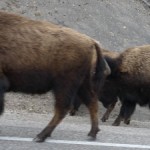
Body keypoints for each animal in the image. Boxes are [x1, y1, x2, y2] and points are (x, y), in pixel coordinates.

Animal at [0, 11, 110, 142]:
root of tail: (91, 41)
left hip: (64, 84)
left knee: (63, 107)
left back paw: (40, 136)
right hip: (82, 84)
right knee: (91, 102)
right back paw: (92, 133)